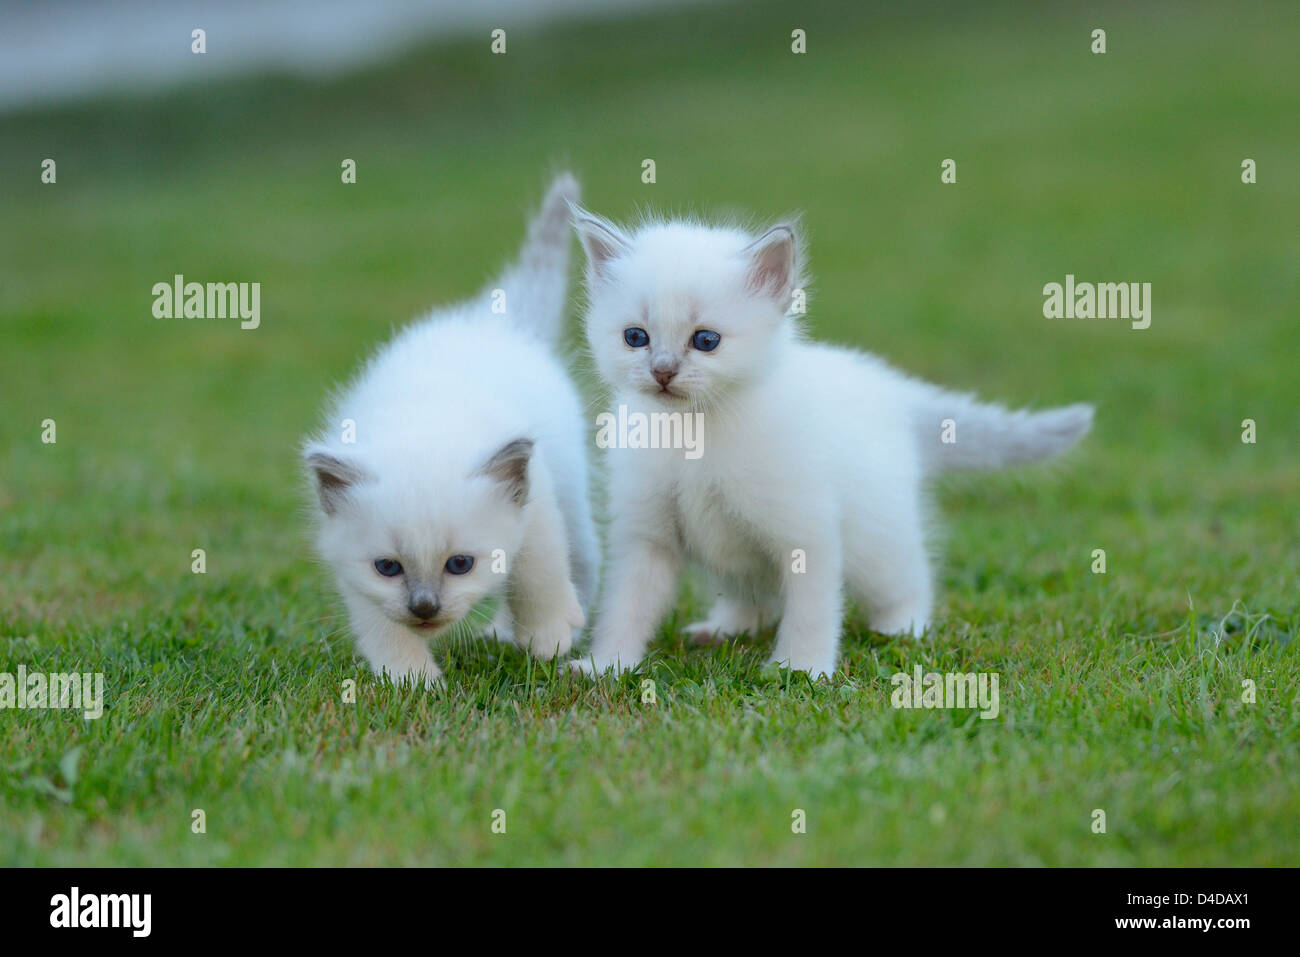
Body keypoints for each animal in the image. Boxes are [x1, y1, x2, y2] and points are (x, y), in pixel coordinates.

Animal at [304, 175, 598, 686]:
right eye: (388, 567)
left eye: (460, 564)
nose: (424, 607)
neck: (424, 425)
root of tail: (494, 321)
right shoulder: (353, 570)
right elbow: (381, 626)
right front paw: (411, 680)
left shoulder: (537, 501)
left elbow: (536, 570)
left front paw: (548, 636)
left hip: (571, 487)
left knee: (579, 559)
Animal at [574, 208, 1092, 681]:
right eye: (635, 337)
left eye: (706, 340)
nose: (662, 371)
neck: (694, 436)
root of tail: (892, 389)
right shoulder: (646, 537)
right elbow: (625, 607)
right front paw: (605, 666)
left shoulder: (807, 532)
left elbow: (812, 611)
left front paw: (800, 670)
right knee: (752, 594)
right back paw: (723, 630)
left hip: (878, 540)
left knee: (910, 579)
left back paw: (902, 628)